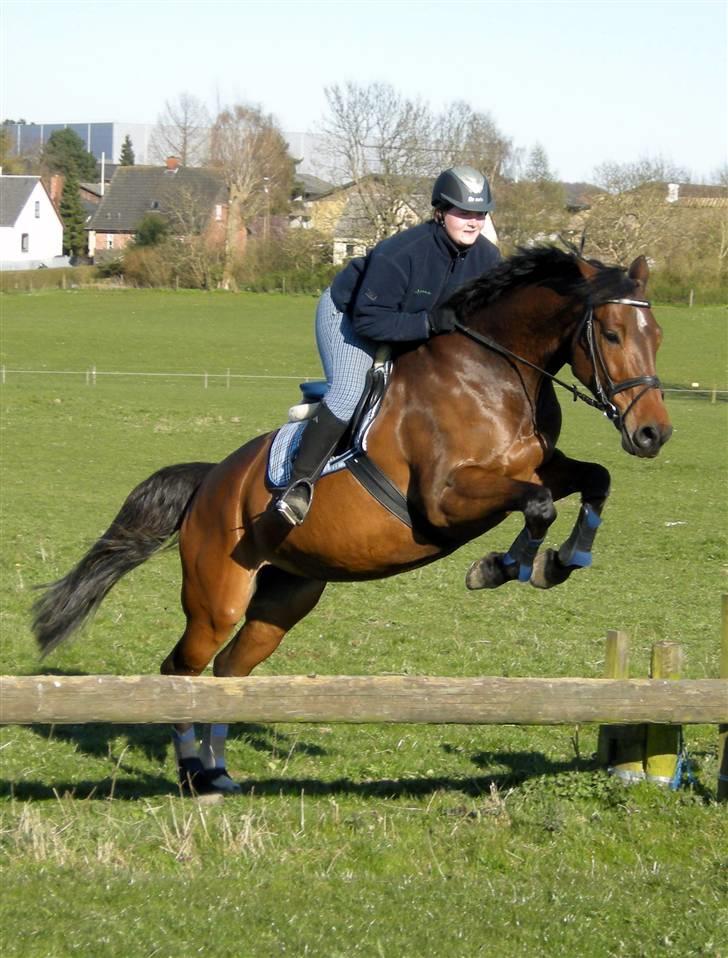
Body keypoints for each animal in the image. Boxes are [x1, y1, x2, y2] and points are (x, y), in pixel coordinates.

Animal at [32, 246, 672, 796]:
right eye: (611, 333)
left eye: (658, 336)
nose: (652, 434)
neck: (494, 374)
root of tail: (210, 482)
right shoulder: (444, 499)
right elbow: (538, 503)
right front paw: (500, 566)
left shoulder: (542, 466)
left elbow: (592, 481)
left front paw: (562, 561)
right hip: (218, 599)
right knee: (180, 670)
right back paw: (193, 774)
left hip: (284, 599)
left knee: (228, 673)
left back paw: (217, 773)